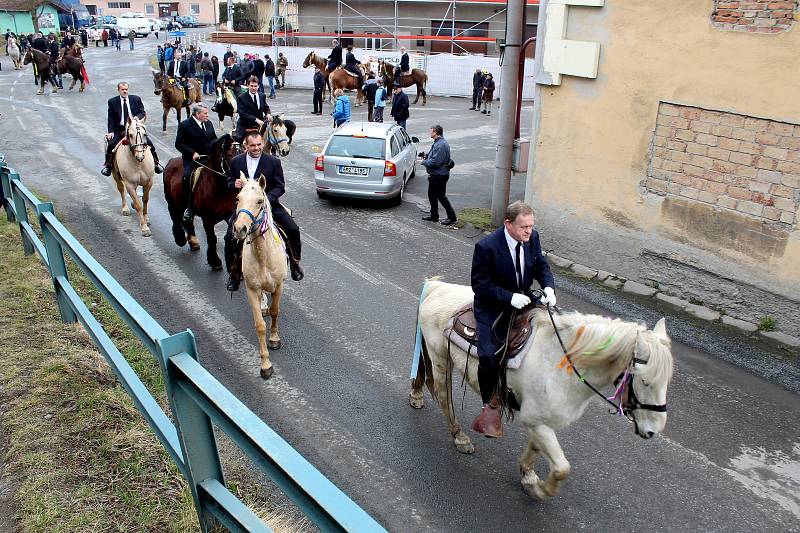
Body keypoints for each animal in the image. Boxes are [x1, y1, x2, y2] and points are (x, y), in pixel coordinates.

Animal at [162, 133, 244, 270]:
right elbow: (212, 239)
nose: (241, 180)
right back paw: (180, 238)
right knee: (174, 216)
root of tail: (171, 161)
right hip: (172, 201)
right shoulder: (208, 219)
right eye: (229, 155)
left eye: (243, 153)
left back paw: (193, 241)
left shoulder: (230, 215)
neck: (219, 188)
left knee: (188, 220)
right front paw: (215, 261)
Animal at [231, 171, 288, 378]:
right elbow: (260, 325)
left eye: (259, 201)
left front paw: (274, 339)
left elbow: (275, 311)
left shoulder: (279, 286)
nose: (239, 229)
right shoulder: (251, 289)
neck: (263, 255)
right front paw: (265, 365)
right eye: (238, 198)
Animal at [412, 278, 676, 498]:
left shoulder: (542, 422)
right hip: (440, 359)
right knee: (444, 396)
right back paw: (460, 438)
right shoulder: (535, 421)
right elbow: (561, 468)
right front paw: (539, 490)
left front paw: (528, 476)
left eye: (667, 381)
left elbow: (536, 449)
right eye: (645, 381)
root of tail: (436, 286)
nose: (652, 431)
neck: (560, 363)